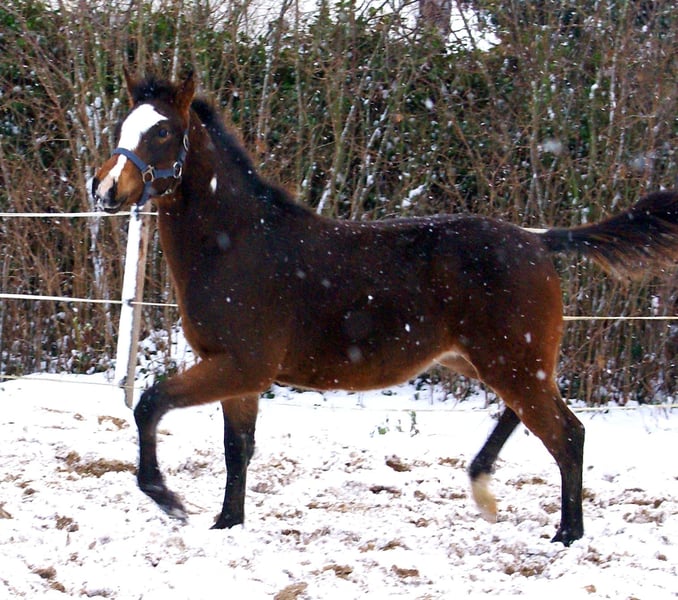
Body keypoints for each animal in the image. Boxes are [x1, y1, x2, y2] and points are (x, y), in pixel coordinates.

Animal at [92, 70, 678, 547]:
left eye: (162, 131)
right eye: (125, 124)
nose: (104, 189)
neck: (236, 245)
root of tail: (538, 240)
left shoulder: (240, 365)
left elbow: (149, 405)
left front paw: (168, 500)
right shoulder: (240, 375)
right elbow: (238, 448)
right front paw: (226, 523)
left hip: (512, 362)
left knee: (568, 435)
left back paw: (565, 534)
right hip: (495, 362)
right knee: (530, 418)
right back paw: (484, 488)